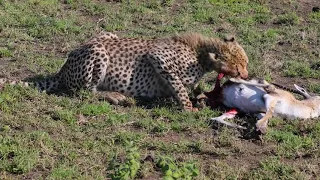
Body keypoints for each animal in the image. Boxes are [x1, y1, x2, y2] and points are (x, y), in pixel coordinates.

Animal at [0, 31, 249, 112]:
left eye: (245, 63)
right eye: (239, 67)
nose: (246, 75)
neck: (202, 53)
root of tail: (62, 69)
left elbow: (193, 87)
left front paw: (201, 97)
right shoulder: (158, 58)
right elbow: (179, 87)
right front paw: (189, 108)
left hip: (108, 34)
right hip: (98, 51)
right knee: (84, 92)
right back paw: (116, 96)